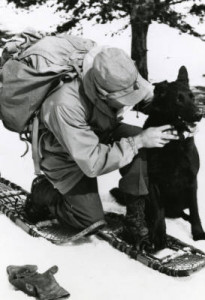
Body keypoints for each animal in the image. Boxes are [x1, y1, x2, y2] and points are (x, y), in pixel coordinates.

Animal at [144, 66, 205, 251]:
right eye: (178, 99)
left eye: (192, 97)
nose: (199, 115)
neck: (174, 142)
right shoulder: (153, 181)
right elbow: (159, 210)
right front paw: (159, 236)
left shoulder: (192, 180)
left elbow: (195, 208)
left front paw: (198, 232)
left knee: (186, 212)